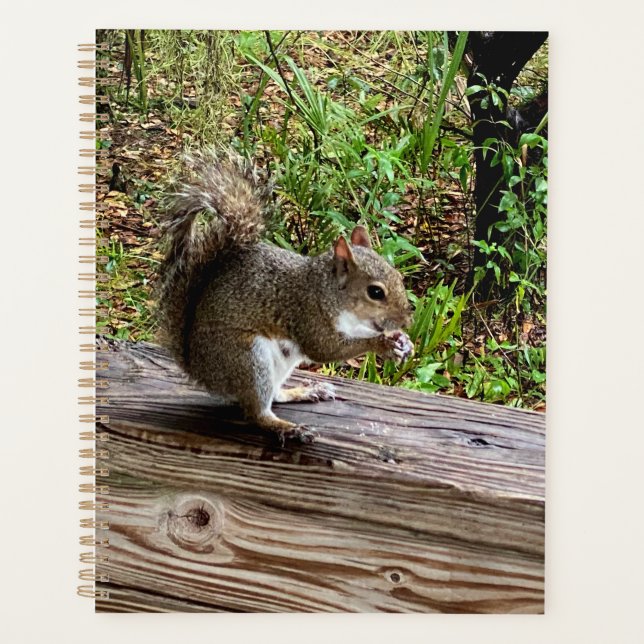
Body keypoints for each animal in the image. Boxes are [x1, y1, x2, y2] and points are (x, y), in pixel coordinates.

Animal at [157, 151, 414, 443]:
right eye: (375, 292)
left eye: (399, 275)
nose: (406, 321)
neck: (325, 291)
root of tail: (200, 370)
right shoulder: (307, 315)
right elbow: (326, 349)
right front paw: (382, 344)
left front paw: (402, 341)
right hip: (246, 360)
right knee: (257, 413)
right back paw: (287, 428)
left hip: (277, 365)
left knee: (275, 396)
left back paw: (304, 392)